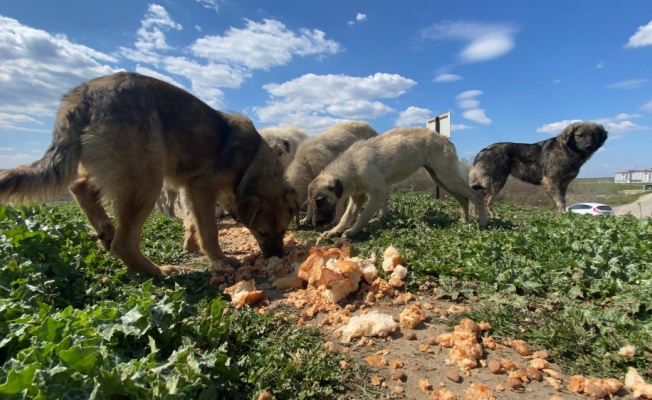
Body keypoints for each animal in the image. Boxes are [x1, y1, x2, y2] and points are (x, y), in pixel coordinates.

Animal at [0, 72, 298, 276]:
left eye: (284, 230)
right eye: (260, 231)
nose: (277, 256)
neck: (251, 160)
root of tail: (82, 95)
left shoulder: (191, 190)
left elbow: (193, 222)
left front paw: (190, 244)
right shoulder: (202, 187)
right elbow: (209, 230)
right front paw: (219, 259)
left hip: (117, 170)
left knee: (80, 187)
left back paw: (104, 229)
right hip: (145, 181)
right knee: (124, 243)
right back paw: (156, 270)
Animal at [308, 127, 486, 238]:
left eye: (320, 200)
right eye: (312, 201)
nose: (316, 223)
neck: (353, 165)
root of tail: (444, 138)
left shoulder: (379, 193)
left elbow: (363, 216)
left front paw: (353, 231)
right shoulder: (358, 198)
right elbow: (346, 216)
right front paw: (335, 231)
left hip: (448, 177)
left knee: (477, 197)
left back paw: (483, 223)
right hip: (440, 179)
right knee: (464, 200)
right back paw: (464, 221)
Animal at [468, 121, 608, 217]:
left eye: (593, 135)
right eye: (580, 135)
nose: (589, 146)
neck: (567, 150)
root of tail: (482, 151)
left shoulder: (562, 184)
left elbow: (559, 200)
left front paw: (557, 216)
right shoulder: (550, 180)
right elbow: (560, 201)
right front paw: (563, 215)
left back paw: (475, 216)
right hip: (496, 182)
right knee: (486, 201)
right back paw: (491, 217)